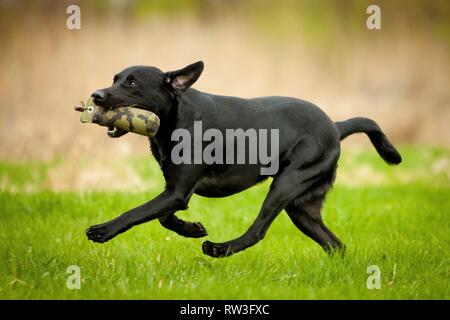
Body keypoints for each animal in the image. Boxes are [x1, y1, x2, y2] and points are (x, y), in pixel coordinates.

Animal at [86, 62, 402, 258]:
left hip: (286, 184)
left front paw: (102, 230)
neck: (175, 120)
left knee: (257, 231)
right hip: (302, 207)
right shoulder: (177, 191)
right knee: (334, 244)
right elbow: (163, 217)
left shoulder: (176, 192)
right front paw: (192, 229)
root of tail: (336, 126)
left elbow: (136, 213)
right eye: (115, 78)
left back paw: (219, 249)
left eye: (132, 82)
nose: (96, 95)